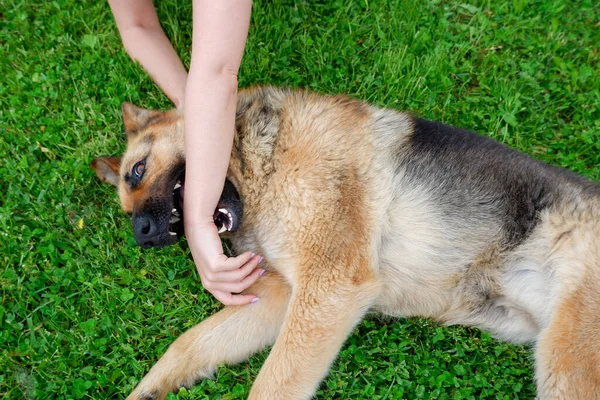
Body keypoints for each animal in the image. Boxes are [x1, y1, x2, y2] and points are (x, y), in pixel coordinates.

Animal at [92, 86, 600, 398]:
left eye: (138, 169)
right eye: (127, 208)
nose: (141, 233)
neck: (260, 162)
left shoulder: (330, 286)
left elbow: (272, 383)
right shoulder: (283, 298)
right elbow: (190, 343)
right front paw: (146, 388)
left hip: (568, 363)